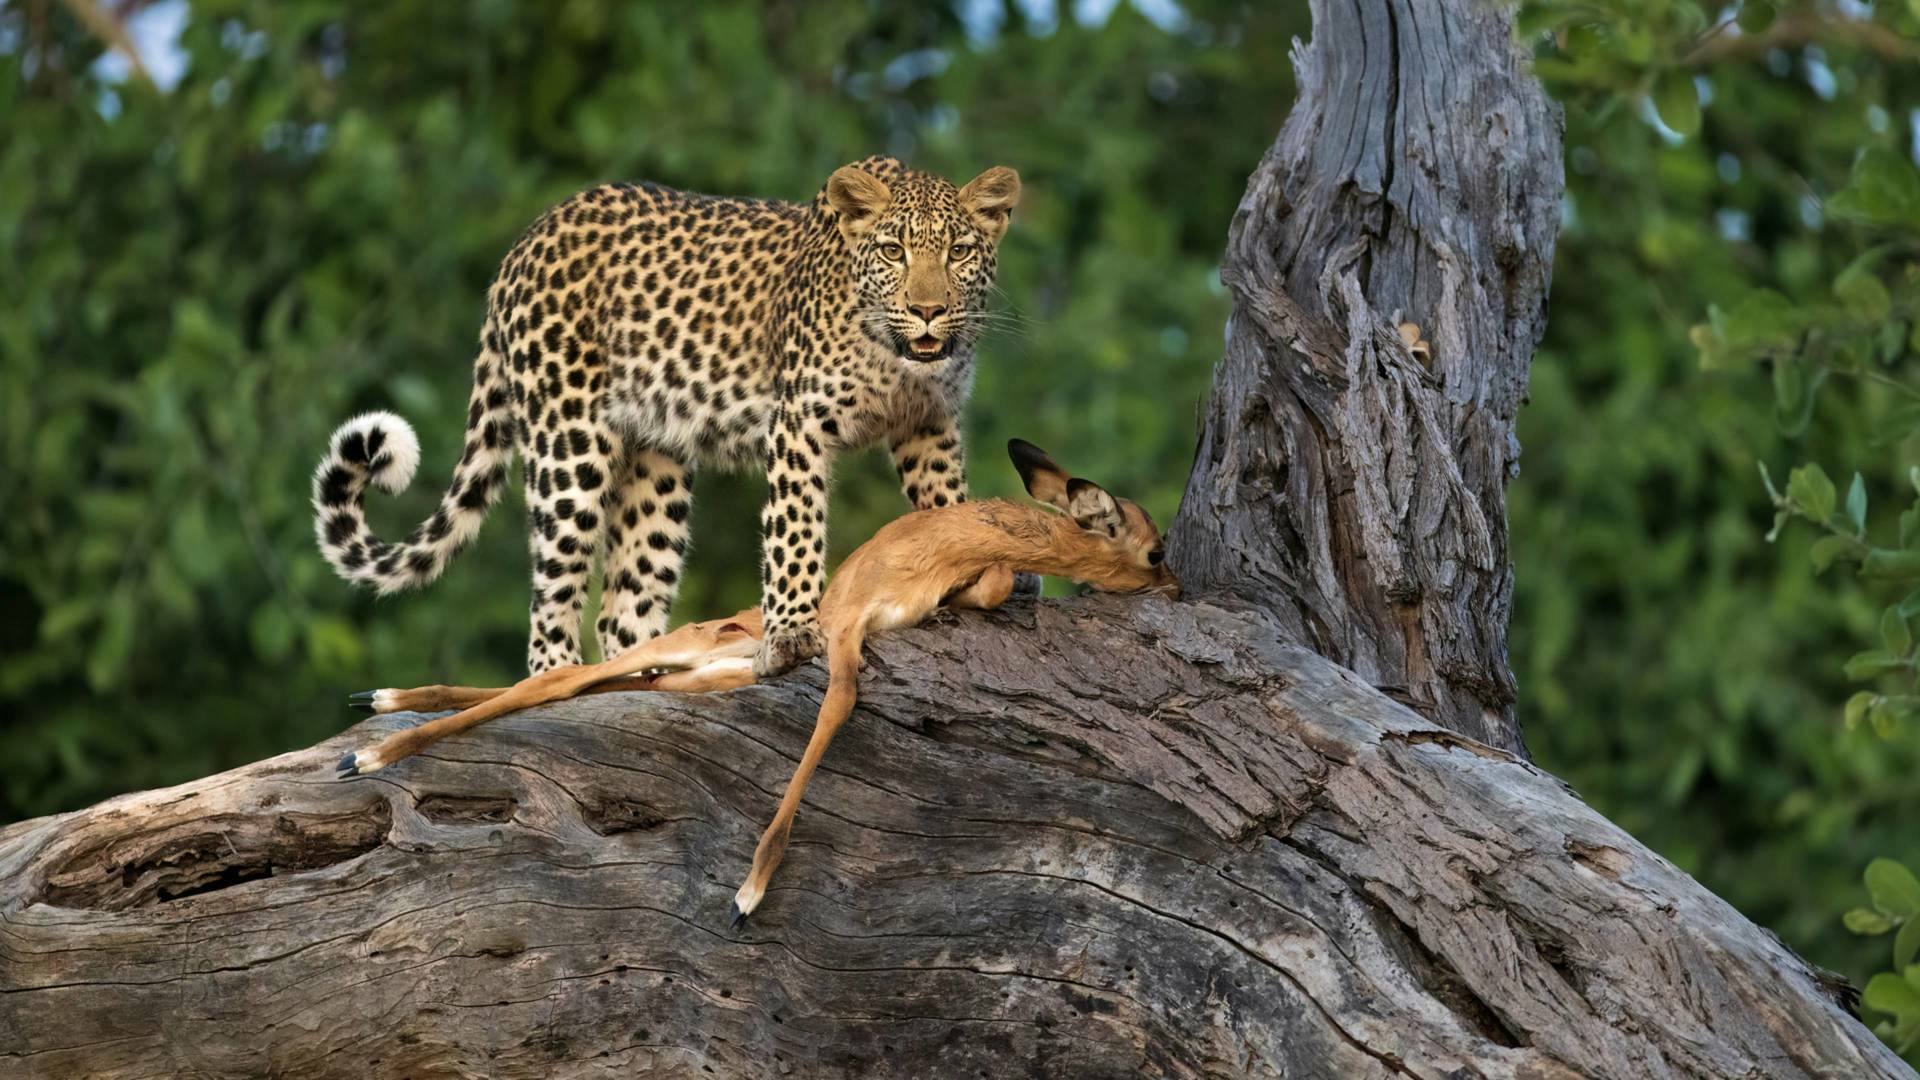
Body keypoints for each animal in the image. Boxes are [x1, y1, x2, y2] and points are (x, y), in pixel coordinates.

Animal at [309, 153, 1021, 672]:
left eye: (958, 252)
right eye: (893, 251)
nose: (928, 310)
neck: (895, 361)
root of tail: (521, 246)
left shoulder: (929, 424)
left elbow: (946, 506)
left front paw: (967, 567)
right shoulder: (798, 425)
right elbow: (794, 533)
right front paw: (791, 635)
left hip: (656, 463)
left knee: (622, 607)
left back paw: (644, 672)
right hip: (567, 450)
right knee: (550, 604)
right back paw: (556, 679)